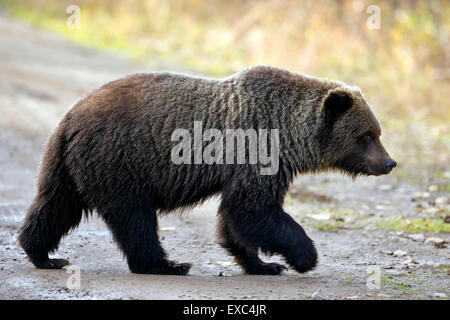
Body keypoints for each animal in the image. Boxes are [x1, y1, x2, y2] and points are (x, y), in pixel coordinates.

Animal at [18, 65, 398, 276]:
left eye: (378, 132)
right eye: (367, 135)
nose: (389, 163)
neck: (289, 135)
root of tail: (71, 117)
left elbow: (237, 217)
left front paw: (263, 265)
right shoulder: (256, 149)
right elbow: (252, 209)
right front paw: (304, 256)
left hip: (68, 164)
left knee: (55, 205)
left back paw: (43, 254)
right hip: (120, 159)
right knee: (134, 217)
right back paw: (166, 264)